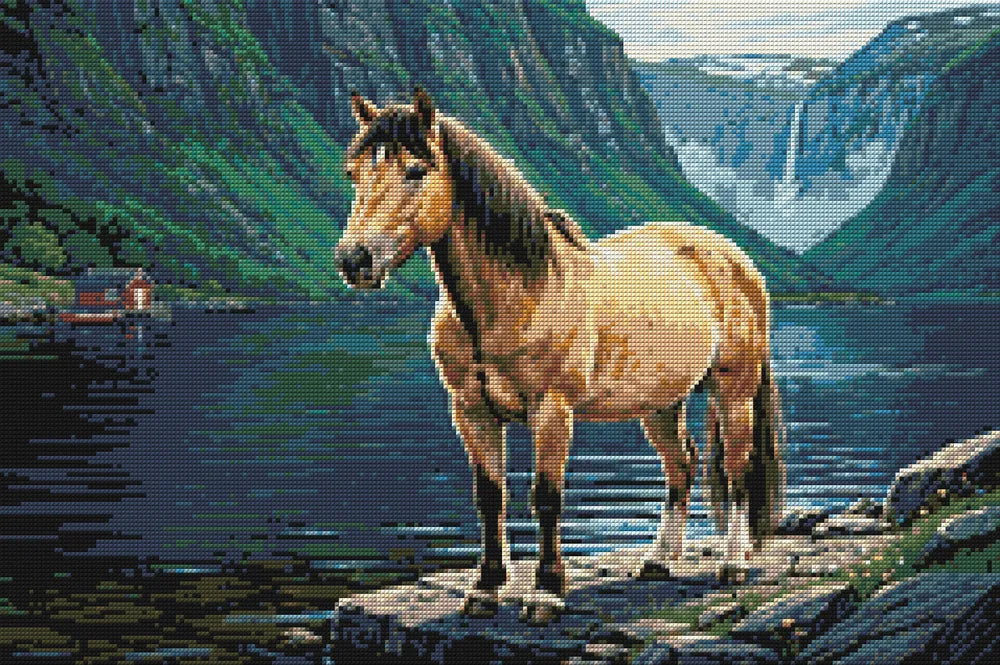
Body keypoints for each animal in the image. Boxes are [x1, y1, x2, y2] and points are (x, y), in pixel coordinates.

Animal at [335, 88, 784, 624]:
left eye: (416, 170)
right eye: (353, 173)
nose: (354, 259)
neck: (517, 298)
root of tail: (735, 258)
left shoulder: (552, 410)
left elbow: (545, 497)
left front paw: (546, 592)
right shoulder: (472, 412)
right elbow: (490, 497)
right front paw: (485, 588)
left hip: (732, 391)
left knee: (735, 470)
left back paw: (733, 563)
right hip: (659, 403)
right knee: (683, 465)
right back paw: (658, 559)